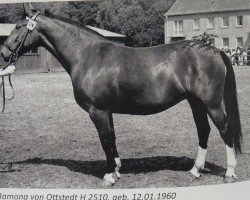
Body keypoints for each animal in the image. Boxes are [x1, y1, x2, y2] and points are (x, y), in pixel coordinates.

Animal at [0, 3, 241, 187]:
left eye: (19, 27)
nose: (3, 53)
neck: (87, 55)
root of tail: (215, 50)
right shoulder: (107, 111)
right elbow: (112, 139)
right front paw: (116, 170)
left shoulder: (97, 111)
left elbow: (105, 140)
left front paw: (108, 176)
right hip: (195, 102)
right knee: (204, 130)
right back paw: (195, 170)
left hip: (212, 104)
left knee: (225, 130)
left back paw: (229, 173)